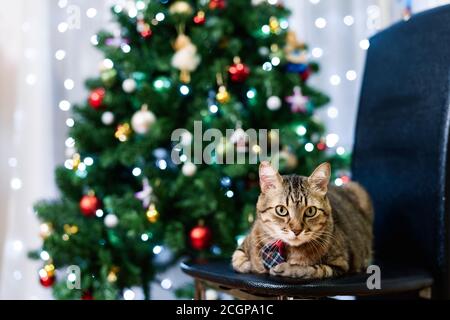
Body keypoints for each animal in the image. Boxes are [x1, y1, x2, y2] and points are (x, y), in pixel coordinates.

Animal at [232, 161, 372, 278]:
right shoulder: (245, 243)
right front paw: (252, 265)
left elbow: (312, 269)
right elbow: (237, 259)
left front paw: (286, 268)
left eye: (310, 211)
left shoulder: (340, 264)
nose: (296, 230)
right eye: (281, 210)